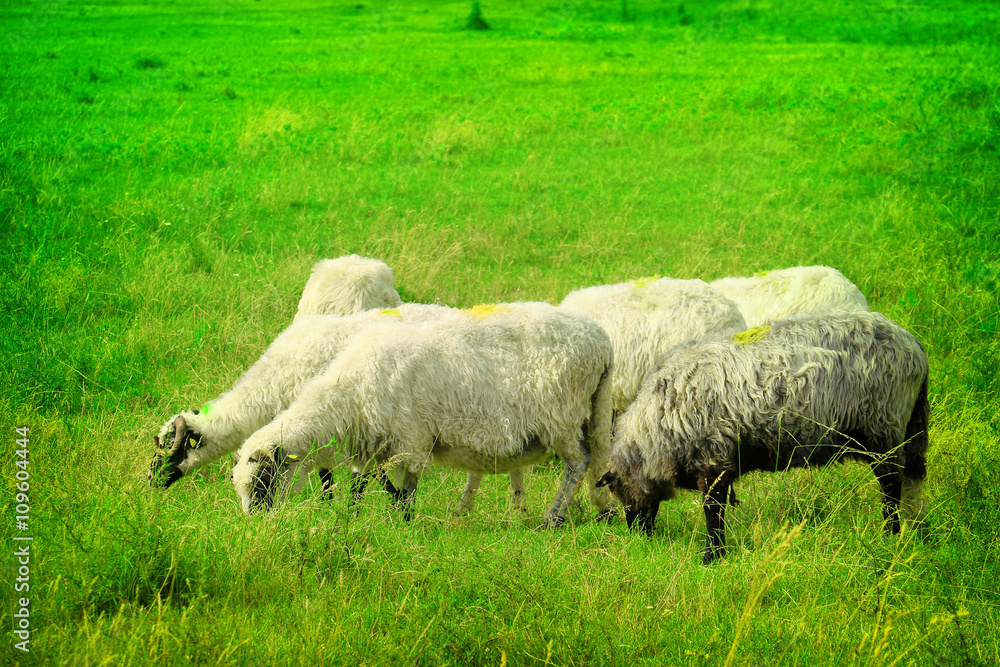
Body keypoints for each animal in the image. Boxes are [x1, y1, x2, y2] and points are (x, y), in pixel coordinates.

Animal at [231, 302, 615, 527]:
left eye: (263, 481)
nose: (254, 524)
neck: (349, 394)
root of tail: (600, 340)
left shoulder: (411, 438)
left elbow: (407, 488)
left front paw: (405, 523)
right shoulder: (376, 443)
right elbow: (365, 485)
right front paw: (358, 518)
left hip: (562, 414)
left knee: (577, 463)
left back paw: (553, 517)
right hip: (590, 411)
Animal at [596, 311, 929, 564]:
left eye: (617, 490)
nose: (639, 535)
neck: (655, 430)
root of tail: (915, 347)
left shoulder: (713, 462)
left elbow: (712, 514)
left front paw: (711, 557)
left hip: (884, 430)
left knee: (891, 486)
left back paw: (890, 533)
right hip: (909, 430)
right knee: (912, 481)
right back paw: (916, 530)